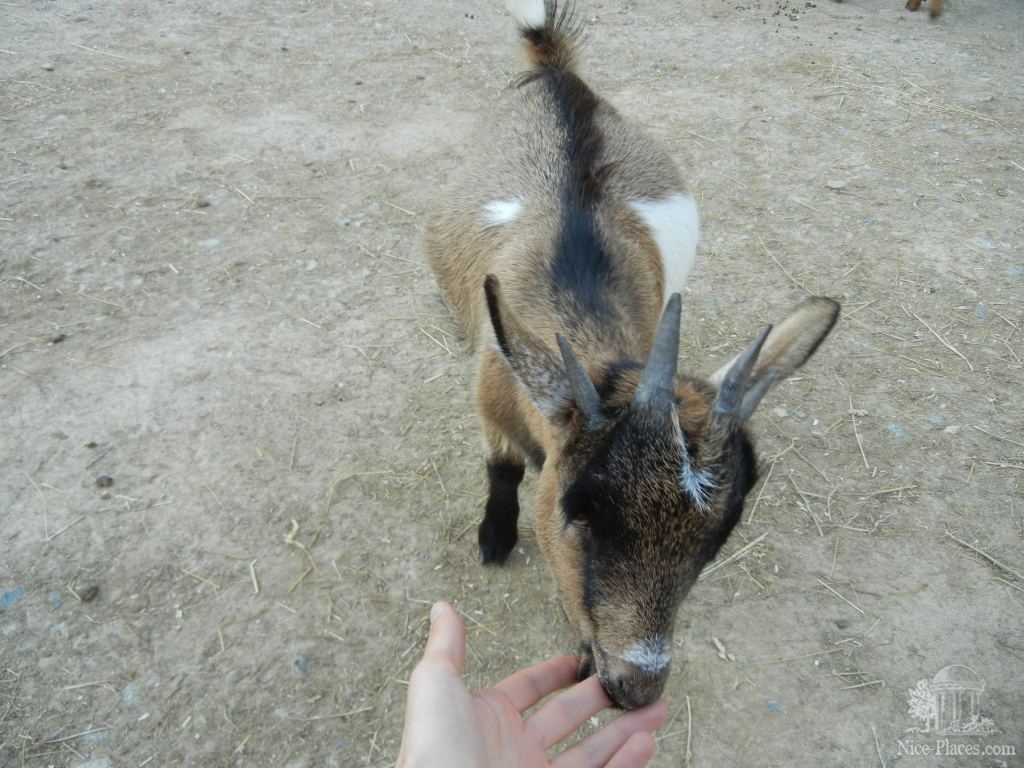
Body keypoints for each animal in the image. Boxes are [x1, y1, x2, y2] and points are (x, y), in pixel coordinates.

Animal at [423, 0, 839, 708]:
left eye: (720, 534)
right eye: (581, 514)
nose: (636, 685)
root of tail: (556, 71)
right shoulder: (492, 397)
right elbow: (501, 469)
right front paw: (495, 537)